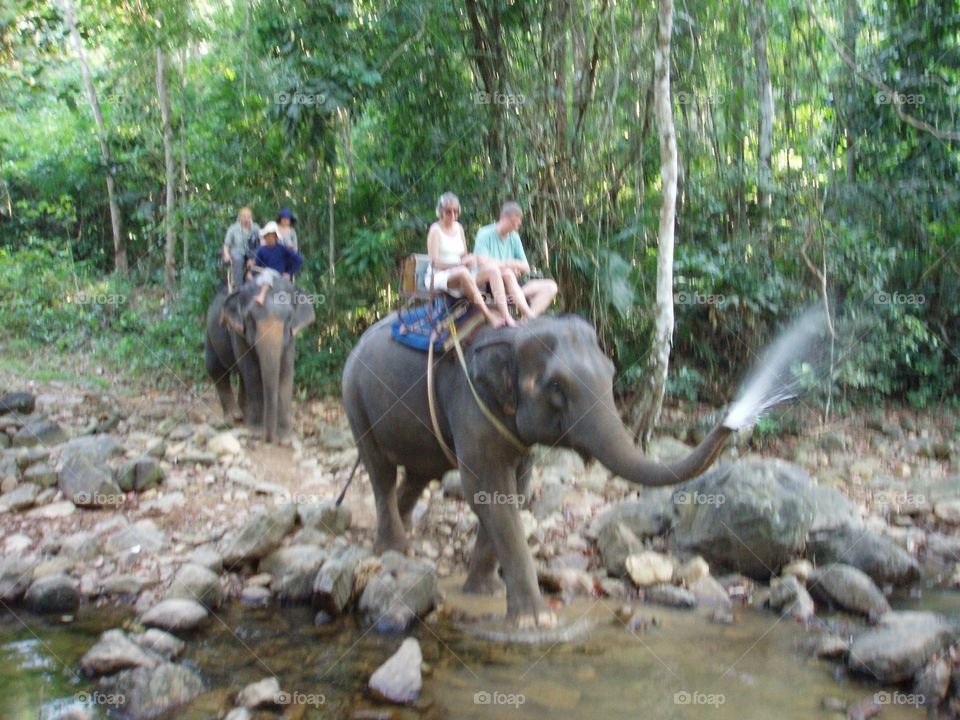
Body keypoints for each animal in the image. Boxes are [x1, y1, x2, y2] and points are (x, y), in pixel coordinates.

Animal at [205, 278, 315, 443]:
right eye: (250, 318)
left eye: (289, 318)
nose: (269, 439)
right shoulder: (239, 333)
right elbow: (252, 372)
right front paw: (256, 433)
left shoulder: (290, 338)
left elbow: (286, 371)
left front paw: (284, 437)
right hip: (210, 335)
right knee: (216, 369)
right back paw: (234, 418)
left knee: (241, 377)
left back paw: (243, 415)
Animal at [342, 312, 733, 627]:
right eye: (556, 386)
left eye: (610, 374)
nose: (731, 420)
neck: (514, 335)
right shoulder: (471, 406)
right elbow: (488, 494)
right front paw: (536, 621)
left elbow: (514, 493)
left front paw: (486, 591)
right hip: (354, 399)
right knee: (381, 471)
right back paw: (392, 549)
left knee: (419, 473)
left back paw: (404, 540)